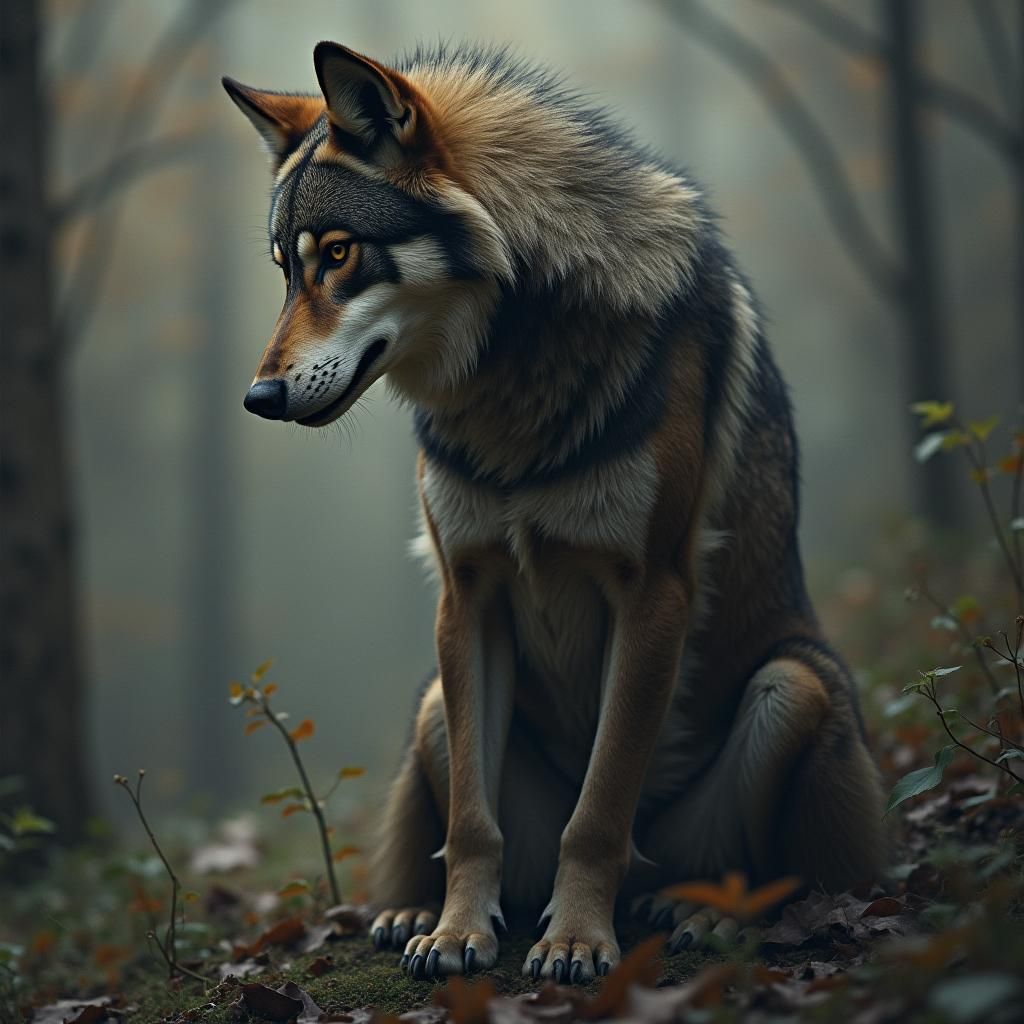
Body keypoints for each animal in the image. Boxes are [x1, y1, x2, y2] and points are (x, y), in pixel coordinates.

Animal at [223, 40, 886, 983]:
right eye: (284, 268)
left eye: (341, 253)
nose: (260, 398)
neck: (511, 373)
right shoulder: (467, 594)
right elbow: (472, 823)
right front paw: (456, 933)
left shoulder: (651, 594)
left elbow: (599, 813)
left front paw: (575, 940)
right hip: (432, 702)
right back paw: (407, 913)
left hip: (793, 688)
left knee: (767, 876)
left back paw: (698, 915)